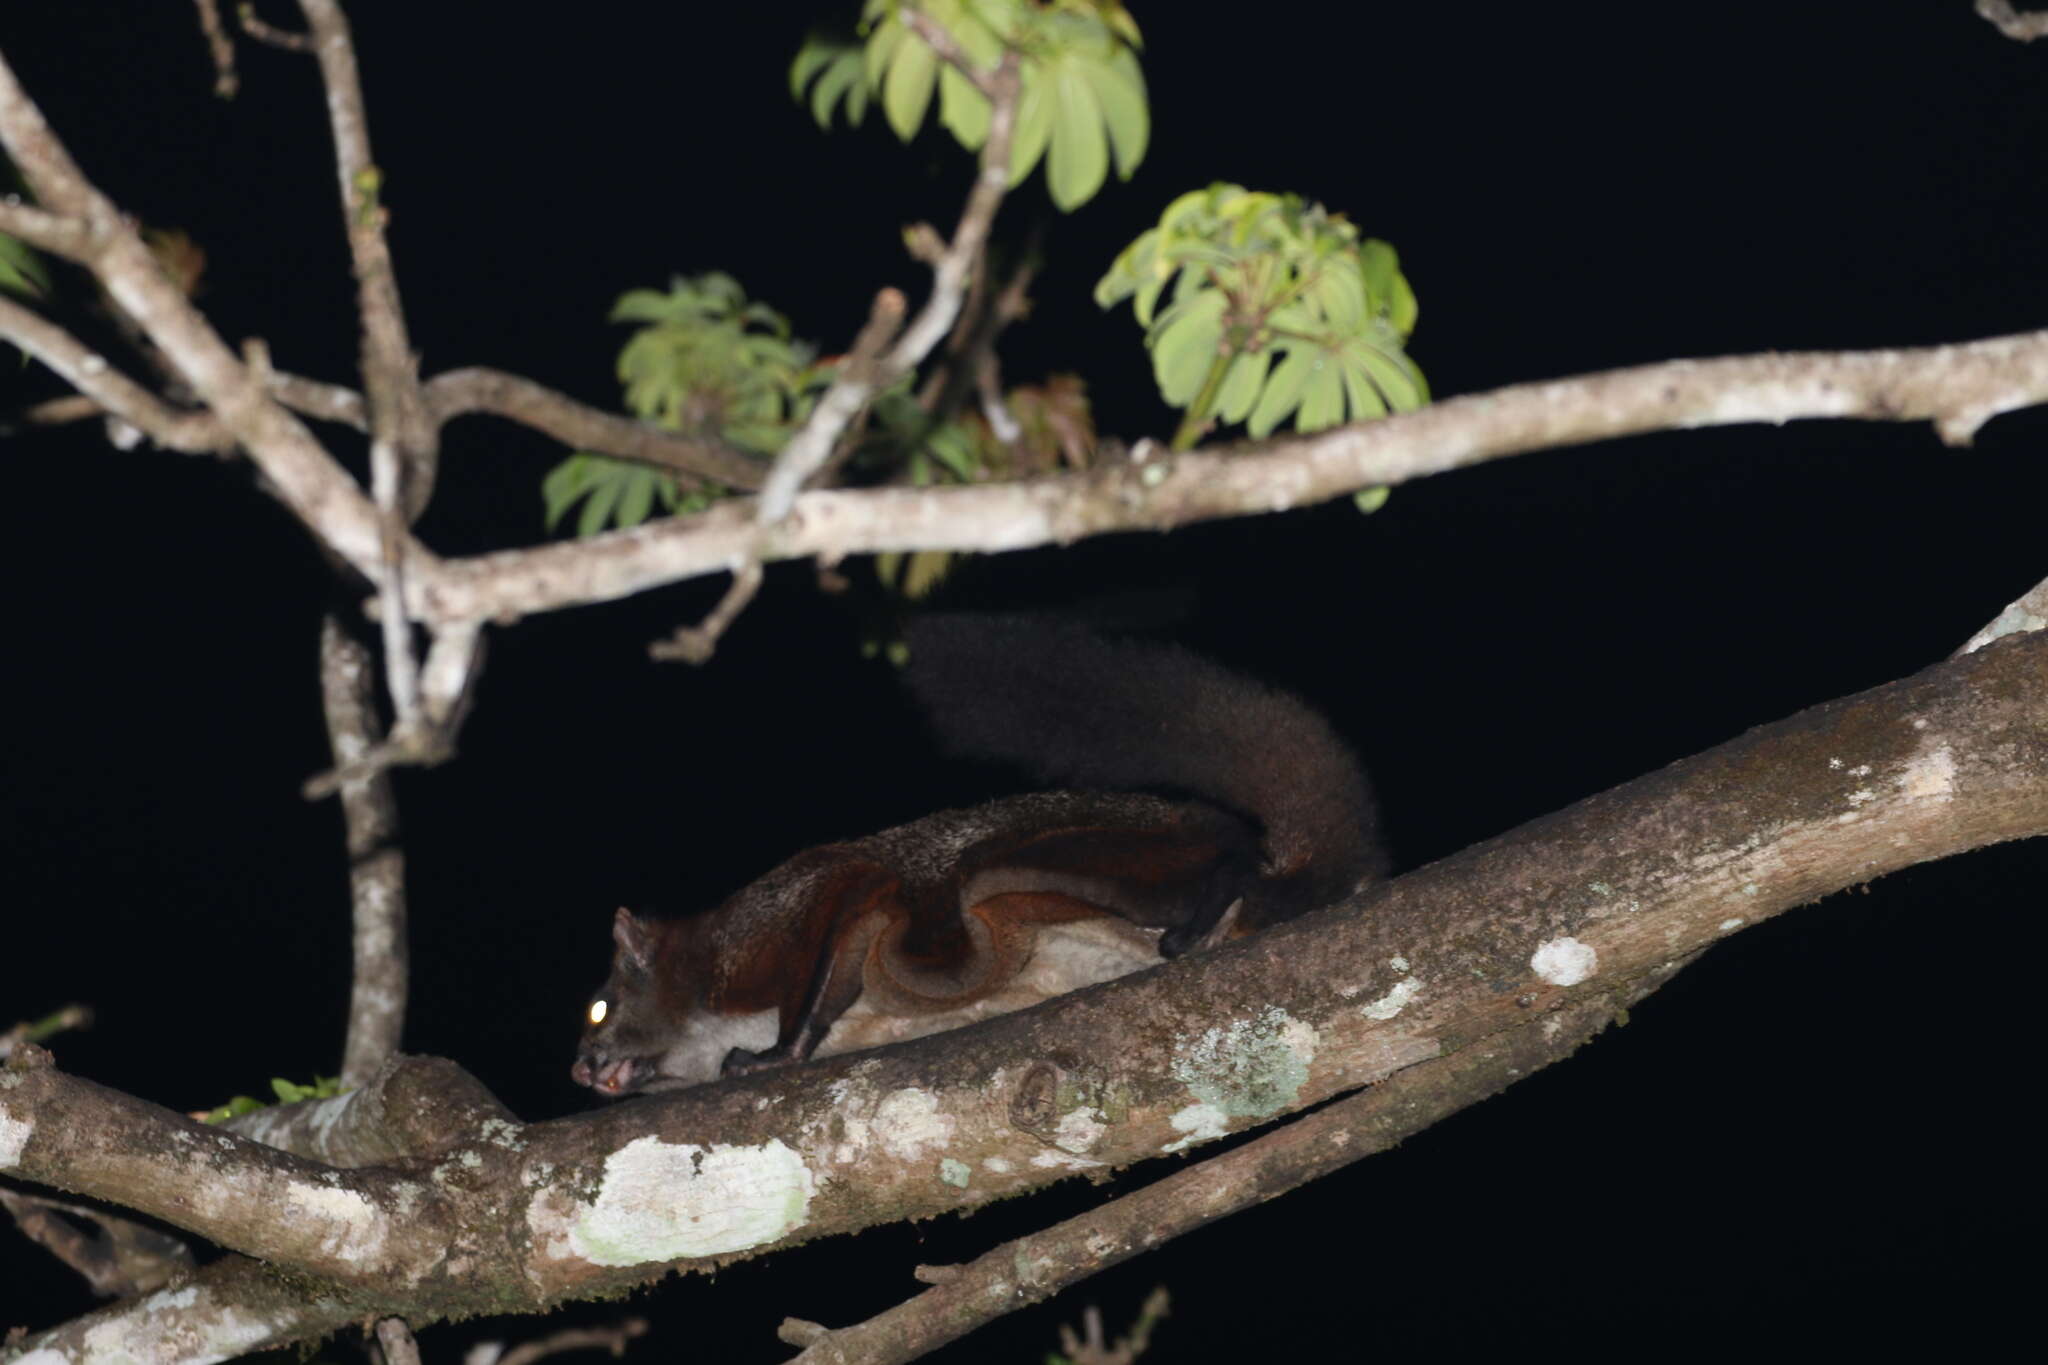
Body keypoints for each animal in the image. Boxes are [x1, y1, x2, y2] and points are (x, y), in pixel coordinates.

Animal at [569, 618, 1384, 1096]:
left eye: (600, 1005)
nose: (578, 1065)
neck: (701, 1012)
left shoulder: (772, 925)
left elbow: (847, 907)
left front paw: (776, 1056)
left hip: (1070, 865)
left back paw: (1210, 909)